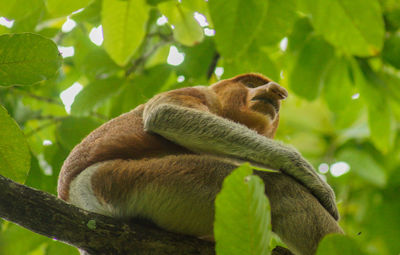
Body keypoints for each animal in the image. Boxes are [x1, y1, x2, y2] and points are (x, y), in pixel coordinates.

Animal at [57, 72, 342, 254]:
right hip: (126, 180)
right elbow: (165, 114)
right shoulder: (196, 92)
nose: (274, 91)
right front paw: (309, 175)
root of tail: (72, 194)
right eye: (250, 83)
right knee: (280, 190)